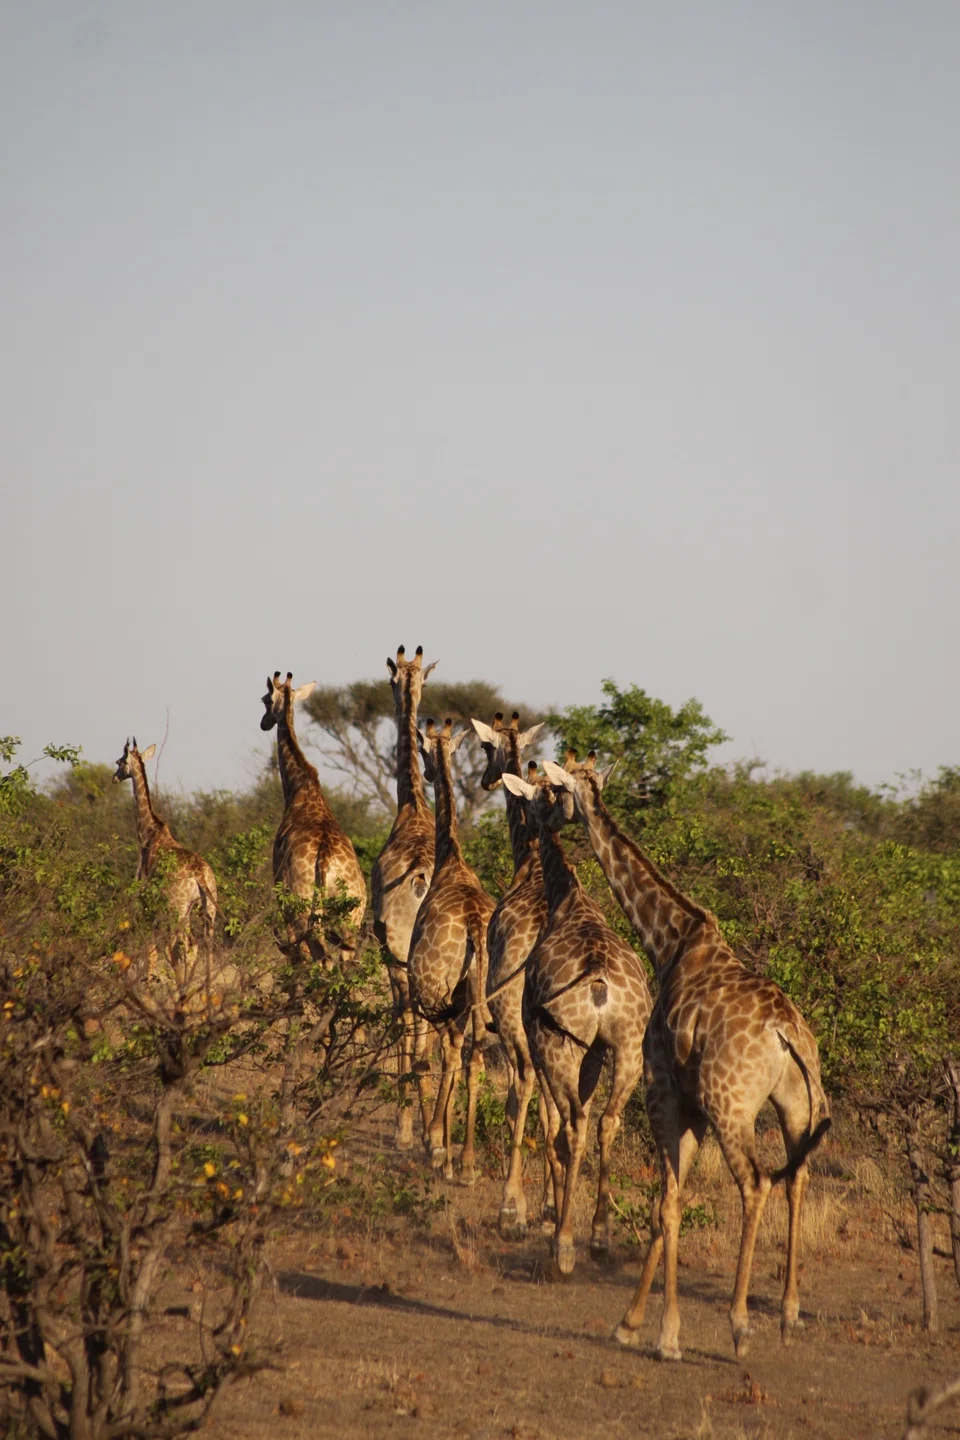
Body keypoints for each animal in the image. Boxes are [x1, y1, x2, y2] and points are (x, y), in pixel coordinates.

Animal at [113, 737, 219, 1004]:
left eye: (119, 762)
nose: (114, 778)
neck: (148, 832)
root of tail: (200, 875)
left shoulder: (145, 896)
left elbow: (151, 948)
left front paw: (149, 986)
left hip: (178, 908)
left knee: (181, 946)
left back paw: (183, 994)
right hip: (208, 908)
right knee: (203, 945)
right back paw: (205, 992)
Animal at [500, 768, 652, 1275]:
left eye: (536, 797)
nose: (534, 824)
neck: (568, 900)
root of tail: (598, 981)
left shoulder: (541, 1034)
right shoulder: (599, 1049)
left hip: (558, 1043)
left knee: (574, 1125)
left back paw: (563, 1245)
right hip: (629, 1048)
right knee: (606, 1121)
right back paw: (600, 1237)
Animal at [541, 754, 831, 1360]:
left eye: (558, 789)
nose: (550, 814)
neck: (670, 943)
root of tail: (787, 1034)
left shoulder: (663, 1088)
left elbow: (667, 1203)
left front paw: (666, 1334)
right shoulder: (691, 1104)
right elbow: (665, 1206)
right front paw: (631, 1322)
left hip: (732, 1105)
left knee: (757, 1183)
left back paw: (741, 1325)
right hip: (796, 1104)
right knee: (797, 1177)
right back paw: (789, 1314)